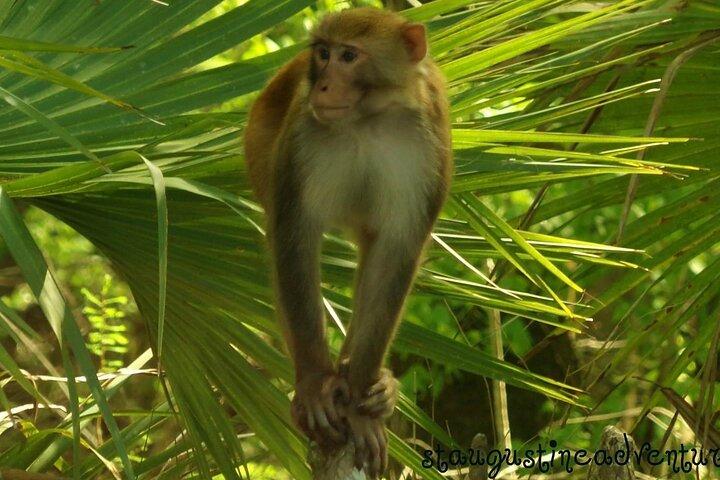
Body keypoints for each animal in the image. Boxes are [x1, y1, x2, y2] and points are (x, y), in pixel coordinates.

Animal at [243, 7, 451, 477]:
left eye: (349, 56)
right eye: (323, 53)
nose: (321, 84)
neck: (368, 117)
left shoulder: (426, 146)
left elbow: (397, 253)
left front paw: (359, 403)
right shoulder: (303, 137)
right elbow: (295, 235)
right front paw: (316, 383)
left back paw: (369, 380)